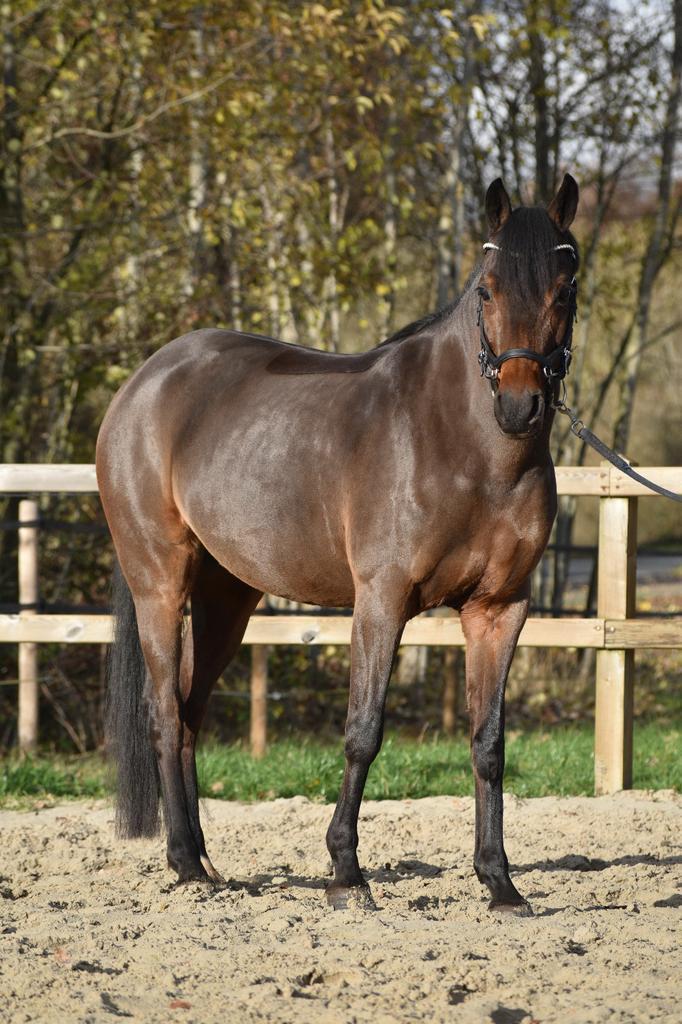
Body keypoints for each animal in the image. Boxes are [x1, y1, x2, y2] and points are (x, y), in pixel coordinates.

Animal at [97, 173, 579, 915]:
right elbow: (363, 732)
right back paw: (182, 863)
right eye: (489, 290)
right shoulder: (381, 601)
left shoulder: (500, 610)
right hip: (161, 584)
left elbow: (489, 744)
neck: (460, 443)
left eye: (564, 289)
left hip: (226, 598)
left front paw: (500, 882)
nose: (519, 406)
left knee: (189, 709)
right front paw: (346, 874)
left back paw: (205, 860)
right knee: (164, 713)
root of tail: (144, 383)